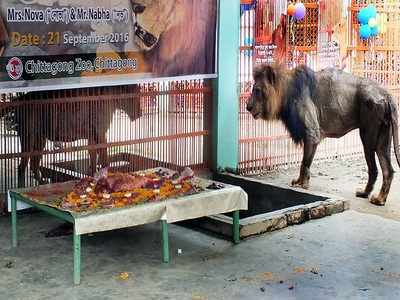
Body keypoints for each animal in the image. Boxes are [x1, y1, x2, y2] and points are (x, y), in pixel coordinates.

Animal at [247, 63, 400, 206]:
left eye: (257, 90)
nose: (247, 107)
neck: (287, 91)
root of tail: (387, 94)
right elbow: (305, 163)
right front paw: (300, 182)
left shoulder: (312, 133)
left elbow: (304, 163)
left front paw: (302, 185)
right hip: (383, 137)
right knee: (388, 170)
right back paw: (377, 198)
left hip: (367, 134)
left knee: (374, 169)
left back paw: (370, 195)